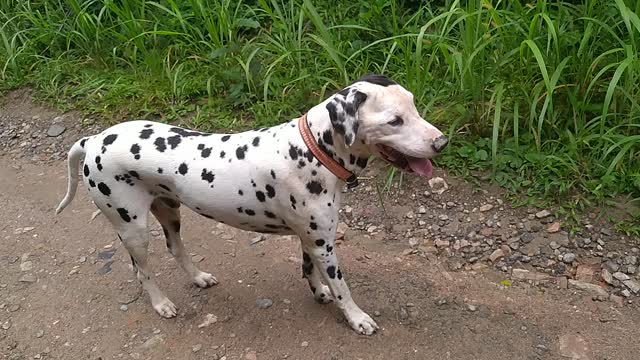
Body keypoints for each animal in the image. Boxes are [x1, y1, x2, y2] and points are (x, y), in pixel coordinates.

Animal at [57, 73, 450, 334]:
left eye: (414, 105)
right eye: (394, 120)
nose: (441, 142)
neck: (311, 150)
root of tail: (94, 140)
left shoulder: (311, 239)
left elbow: (310, 271)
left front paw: (319, 293)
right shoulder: (324, 245)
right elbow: (342, 287)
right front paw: (356, 317)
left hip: (170, 212)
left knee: (176, 247)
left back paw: (198, 277)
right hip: (133, 228)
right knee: (142, 271)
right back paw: (161, 304)